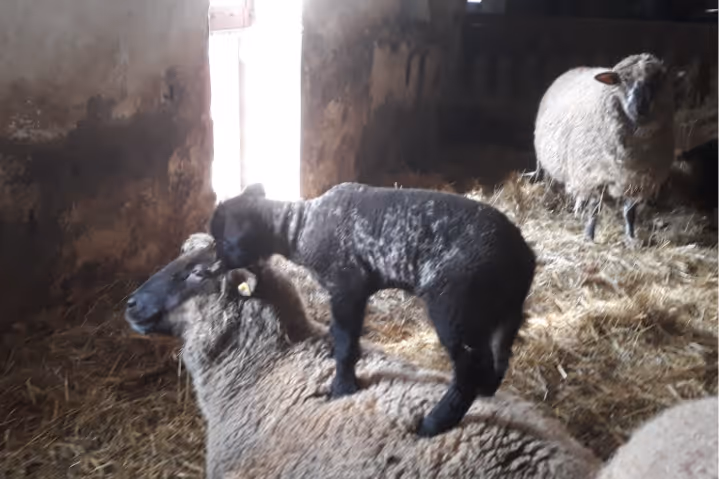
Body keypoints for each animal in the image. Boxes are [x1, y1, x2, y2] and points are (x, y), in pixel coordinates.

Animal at [209, 182, 537, 437]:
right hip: (505, 311)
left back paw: (434, 423)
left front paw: (342, 387)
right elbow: (344, 336)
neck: (298, 230)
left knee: (469, 368)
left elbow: (345, 340)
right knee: (499, 357)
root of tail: (523, 257)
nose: (210, 268)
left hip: (454, 305)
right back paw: (486, 391)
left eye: (223, 241)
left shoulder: (347, 285)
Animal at [533, 53, 676, 244]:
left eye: (656, 81)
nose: (640, 108)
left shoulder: (637, 180)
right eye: (623, 80)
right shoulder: (592, 174)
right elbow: (594, 210)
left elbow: (629, 212)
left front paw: (631, 238)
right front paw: (589, 236)